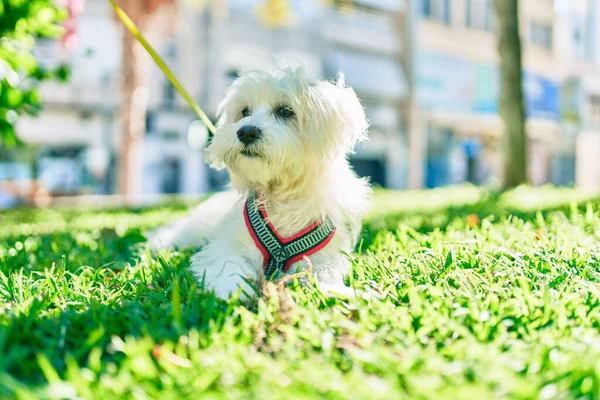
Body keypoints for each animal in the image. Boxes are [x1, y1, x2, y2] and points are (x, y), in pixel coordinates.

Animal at [148, 67, 370, 298]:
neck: (280, 194)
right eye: (245, 112)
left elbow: (322, 274)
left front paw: (336, 291)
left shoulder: (321, 257)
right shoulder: (228, 245)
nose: (246, 131)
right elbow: (229, 263)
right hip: (195, 230)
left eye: (285, 111)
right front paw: (234, 289)